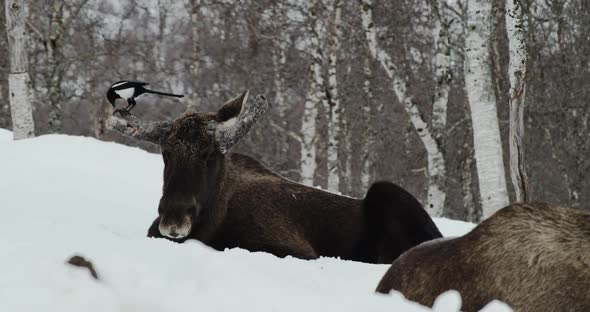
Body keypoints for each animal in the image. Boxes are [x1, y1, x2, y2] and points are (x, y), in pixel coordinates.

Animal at [106, 91, 442, 264]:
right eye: (165, 153)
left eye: (210, 154)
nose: (174, 219)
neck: (213, 217)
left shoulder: (298, 251)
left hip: (388, 192)